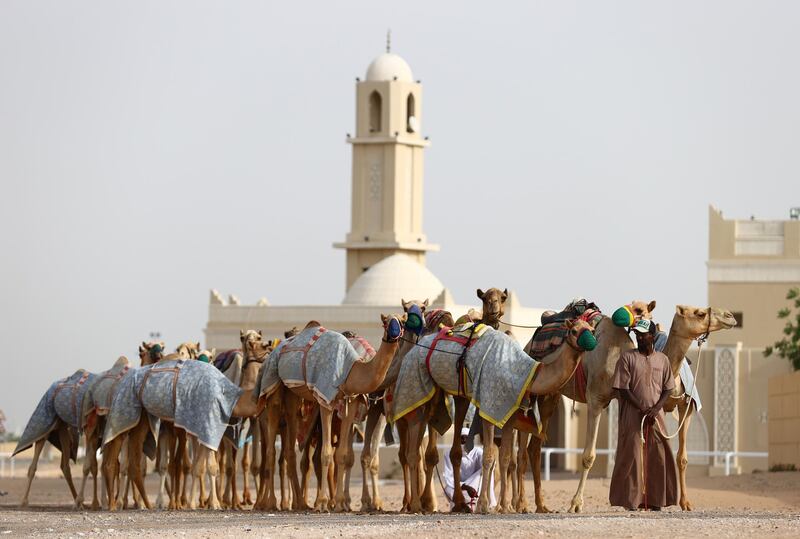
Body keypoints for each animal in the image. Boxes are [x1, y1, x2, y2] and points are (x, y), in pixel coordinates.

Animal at [256, 316, 404, 516]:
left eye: (402, 321)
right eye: (387, 322)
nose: (395, 334)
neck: (351, 369)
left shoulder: (352, 401)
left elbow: (343, 454)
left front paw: (341, 503)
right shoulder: (325, 399)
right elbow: (326, 454)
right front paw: (322, 503)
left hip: (293, 397)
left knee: (290, 450)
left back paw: (300, 503)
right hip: (274, 387)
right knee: (271, 450)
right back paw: (272, 503)